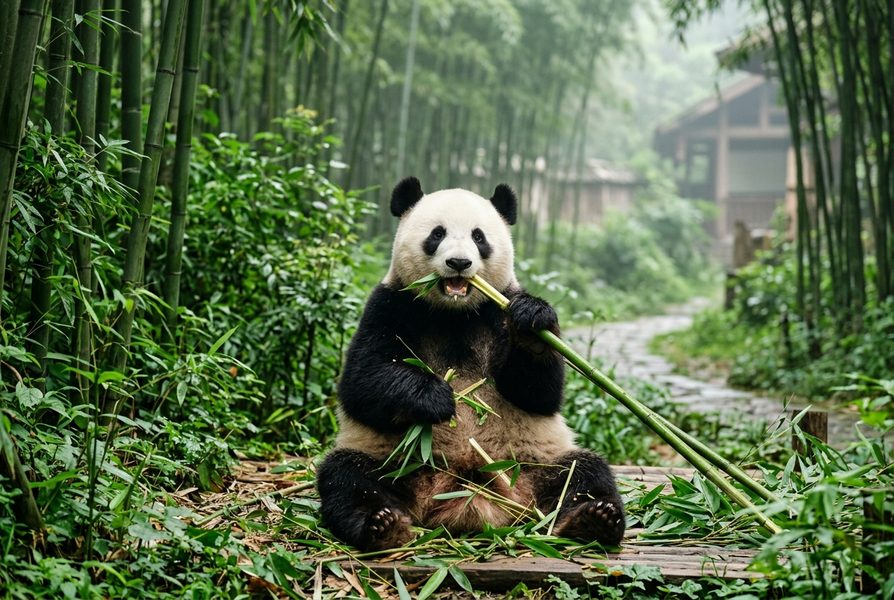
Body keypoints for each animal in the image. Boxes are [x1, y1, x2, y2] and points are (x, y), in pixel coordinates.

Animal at [316, 177, 624, 551]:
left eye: (479, 237)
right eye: (437, 234)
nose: (459, 263)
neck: (455, 313)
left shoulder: (499, 306)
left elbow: (540, 394)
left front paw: (532, 321)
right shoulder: (391, 304)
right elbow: (362, 381)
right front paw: (435, 398)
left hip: (534, 462)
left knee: (584, 472)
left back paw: (594, 519)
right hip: (395, 462)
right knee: (348, 477)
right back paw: (382, 524)